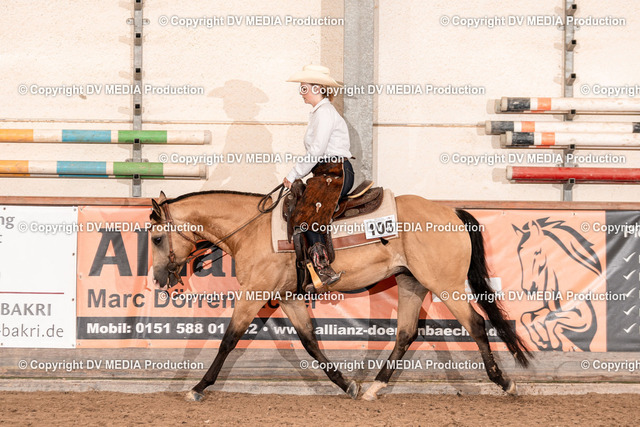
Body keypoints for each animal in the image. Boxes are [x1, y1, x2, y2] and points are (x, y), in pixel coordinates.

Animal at [149, 189, 531, 401]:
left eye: (155, 238)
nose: (158, 278)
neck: (251, 231)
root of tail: (450, 211)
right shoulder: (288, 297)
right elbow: (309, 342)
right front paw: (347, 384)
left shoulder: (254, 292)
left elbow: (228, 340)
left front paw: (198, 387)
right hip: (412, 283)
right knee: (407, 333)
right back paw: (375, 387)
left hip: (445, 284)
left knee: (477, 324)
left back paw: (505, 383)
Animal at [514, 218, 601, 351]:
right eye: (520, 254)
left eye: (537, 252)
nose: (528, 288)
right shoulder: (549, 309)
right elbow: (528, 316)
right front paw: (541, 341)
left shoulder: (585, 319)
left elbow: (550, 320)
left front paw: (553, 342)